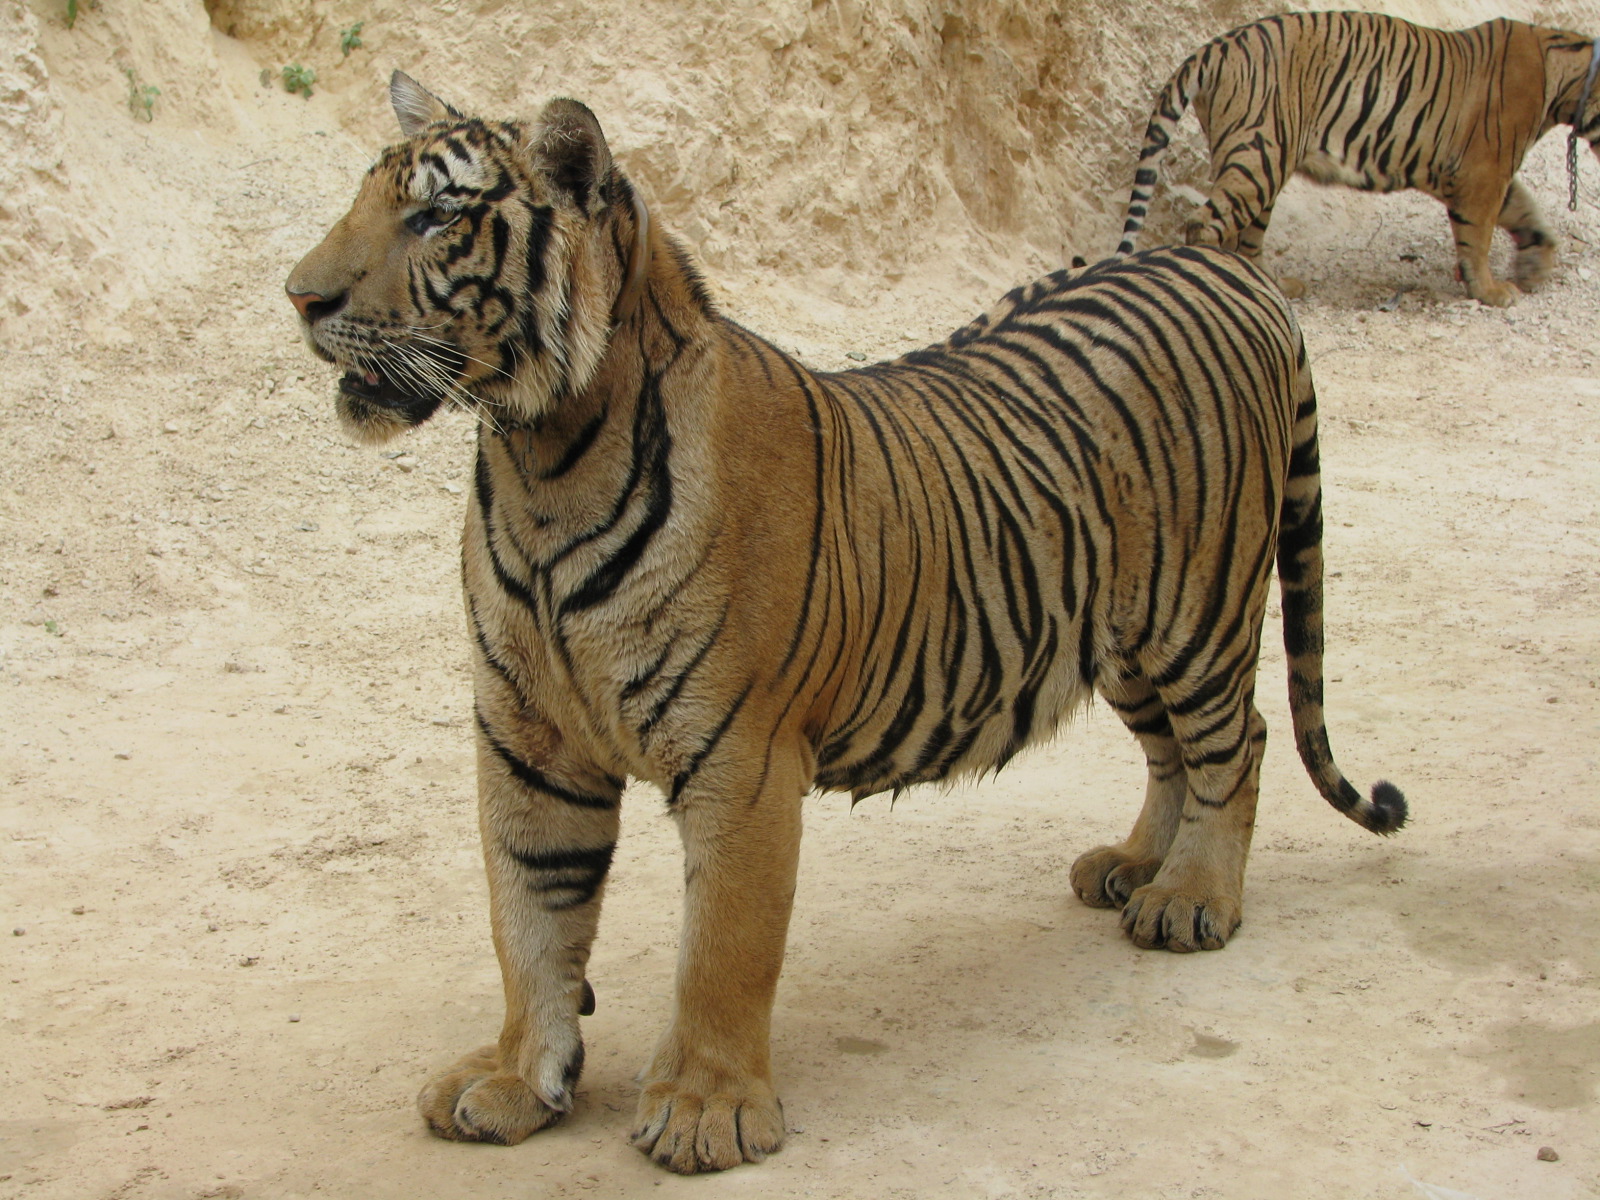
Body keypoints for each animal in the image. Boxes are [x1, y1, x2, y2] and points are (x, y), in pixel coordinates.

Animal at [284, 72, 1401, 1177]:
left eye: (438, 216)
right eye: (369, 197)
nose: (299, 296)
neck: (542, 463)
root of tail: (1218, 262)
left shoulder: (740, 758)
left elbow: (722, 949)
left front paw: (705, 1111)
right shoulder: (525, 741)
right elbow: (527, 920)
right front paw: (518, 1078)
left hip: (1197, 610)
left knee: (1237, 744)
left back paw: (1191, 899)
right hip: (1118, 629)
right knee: (1170, 752)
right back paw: (1135, 868)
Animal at [1113, 11, 1600, 305]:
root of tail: (1216, 46)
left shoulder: (1487, 174)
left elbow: (1525, 211)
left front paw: (1535, 265)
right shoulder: (1483, 173)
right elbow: (1478, 237)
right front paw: (1492, 290)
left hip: (1260, 160)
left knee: (1246, 236)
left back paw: (1274, 287)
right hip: (1259, 157)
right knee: (1204, 225)